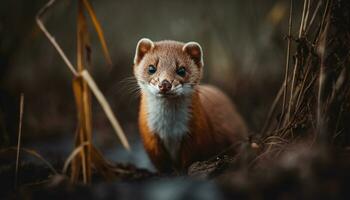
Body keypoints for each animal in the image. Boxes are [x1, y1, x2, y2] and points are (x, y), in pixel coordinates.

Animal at [133, 38, 247, 173]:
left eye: (181, 70)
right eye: (151, 68)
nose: (165, 83)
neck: (169, 130)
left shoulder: (195, 135)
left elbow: (190, 159)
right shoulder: (150, 138)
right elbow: (162, 164)